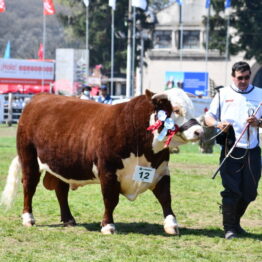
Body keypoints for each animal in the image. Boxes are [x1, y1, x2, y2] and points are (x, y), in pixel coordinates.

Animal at [0, 88, 203, 235]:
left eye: (194, 109)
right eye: (176, 110)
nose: (199, 131)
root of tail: (39, 98)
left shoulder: (160, 170)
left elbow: (165, 197)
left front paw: (171, 224)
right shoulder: (108, 171)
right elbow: (110, 199)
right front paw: (108, 225)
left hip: (62, 165)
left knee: (61, 190)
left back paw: (68, 219)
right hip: (29, 158)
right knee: (29, 187)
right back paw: (28, 218)